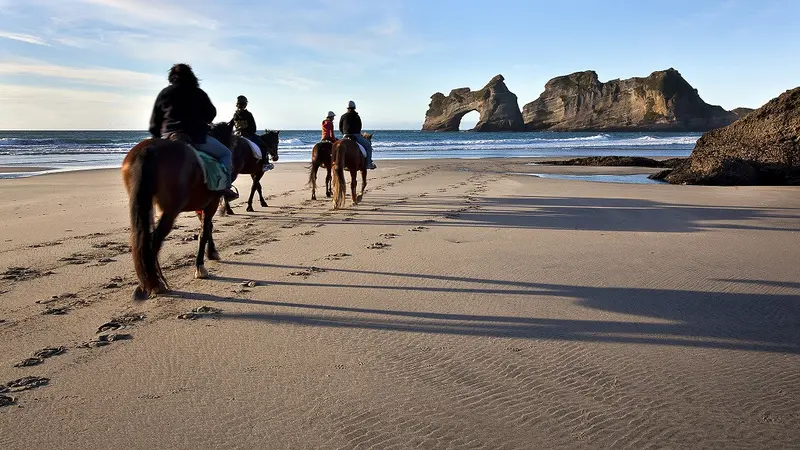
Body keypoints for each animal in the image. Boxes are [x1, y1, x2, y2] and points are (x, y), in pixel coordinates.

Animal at [119, 121, 238, 300]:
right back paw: (156, 284)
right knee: (154, 240)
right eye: (232, 142)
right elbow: (204, 231)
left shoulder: (201, 207)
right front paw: (201, 267)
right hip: (171, 209)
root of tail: (149, 150)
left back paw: (148, 282)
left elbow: (208, 228)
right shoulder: (211, 203)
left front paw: (212, 253)